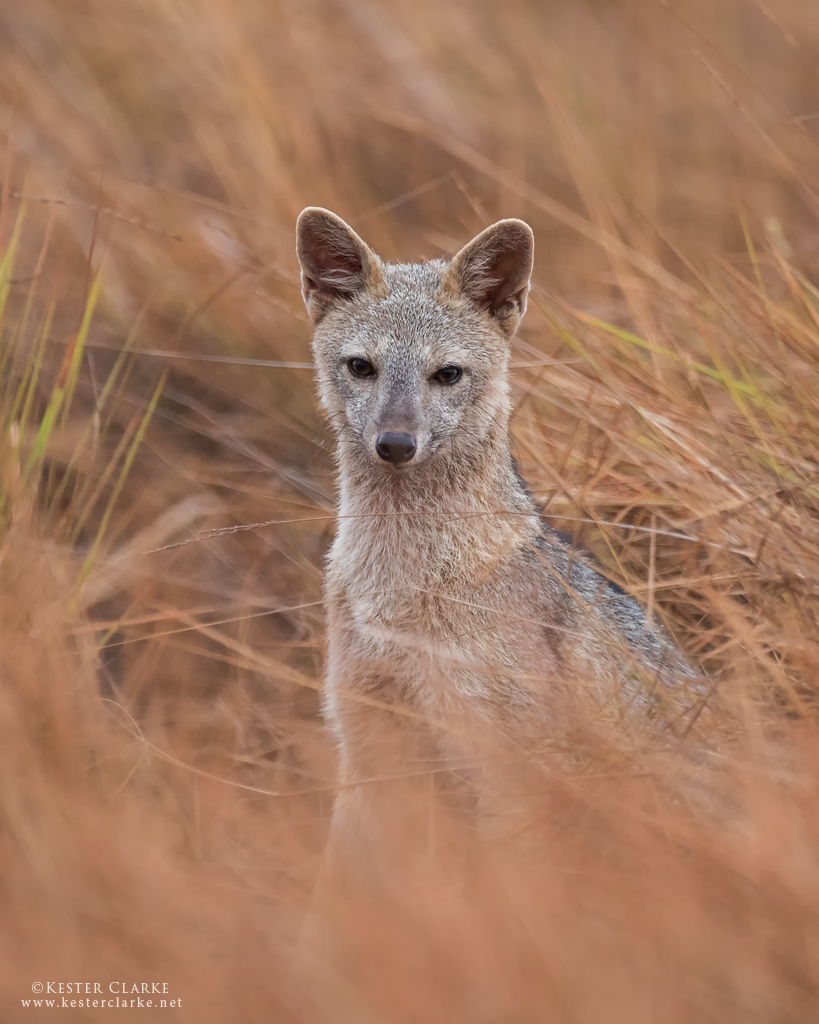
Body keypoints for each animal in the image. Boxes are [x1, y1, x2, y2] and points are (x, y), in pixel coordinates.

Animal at [294, 207, 696, 864]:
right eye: (361, 367)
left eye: (447, 374)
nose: (396, 443)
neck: (400, 588)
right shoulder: (366, 738)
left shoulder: (505, 760)